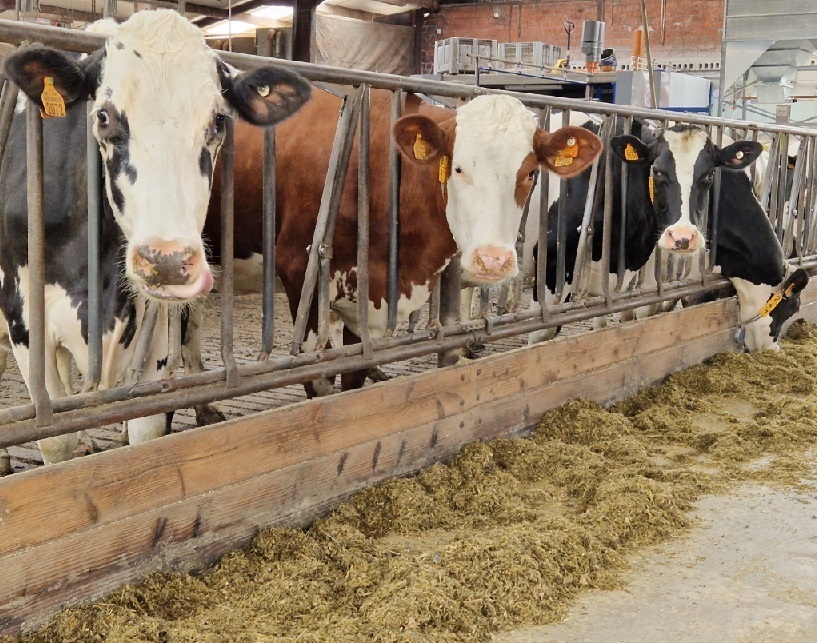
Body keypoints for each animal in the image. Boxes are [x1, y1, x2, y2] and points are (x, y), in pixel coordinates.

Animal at [0, 7, 310, 468]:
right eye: (103, 116)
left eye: (219, 120)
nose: (166, 262)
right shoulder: (24, 316)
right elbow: (55, 439)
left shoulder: (159, 328)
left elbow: (147, 434)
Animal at [204, 88, 600, 394]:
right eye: (458, 168)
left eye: (531, 173)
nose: (492, 261)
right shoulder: (300, 272)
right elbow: (319, 381)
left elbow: (353, 377)